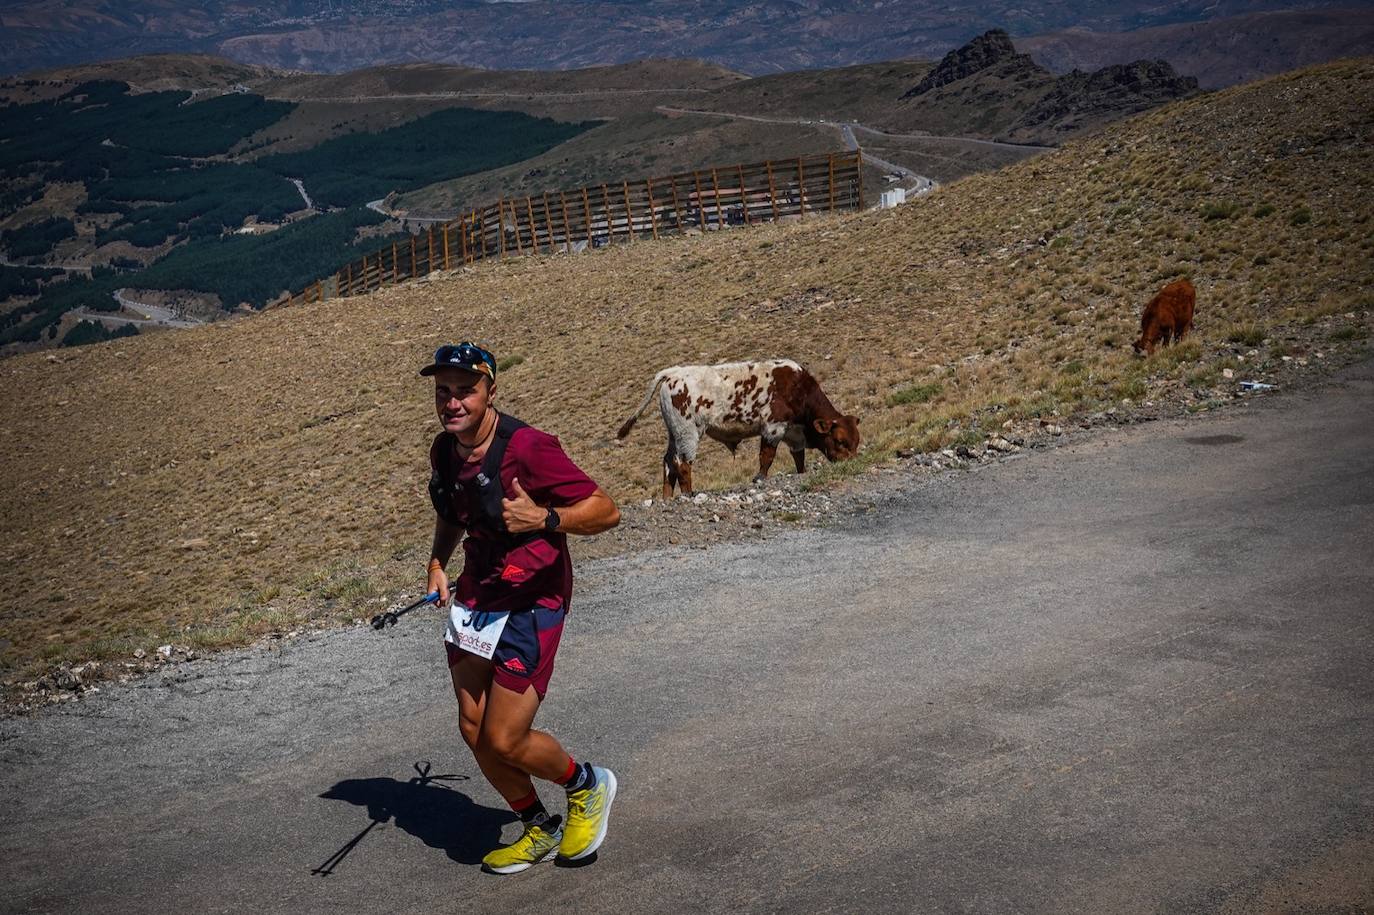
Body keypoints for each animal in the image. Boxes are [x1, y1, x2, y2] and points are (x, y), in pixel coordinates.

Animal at [615, 359, 851, 494]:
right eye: (840, 441)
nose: (849, 462)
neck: (798, 386)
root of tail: (673, 374)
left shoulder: (793, 433)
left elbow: (798, 457)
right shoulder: (773, 428)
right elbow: (767, 456)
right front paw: (759, 478)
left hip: (674, 434)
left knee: (668, 463)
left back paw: (667, 498)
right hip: (688, 433)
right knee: (682, 463)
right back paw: (688, 494)